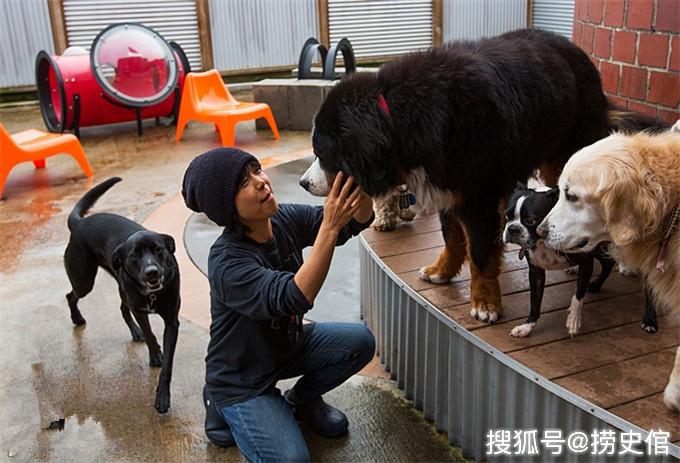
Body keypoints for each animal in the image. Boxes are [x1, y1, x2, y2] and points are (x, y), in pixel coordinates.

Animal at [63, 178, 179, 414]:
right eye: (135, 254)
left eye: (158, 249)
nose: (151, 272)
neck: (153, 295)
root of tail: (79, 223)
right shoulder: (140, 310)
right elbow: (150, 334)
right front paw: (155, 354)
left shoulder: (172, 320)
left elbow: (168, 365)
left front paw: (162, 396)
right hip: (84, 281)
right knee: (71, 295)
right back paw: (77, 318)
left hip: (119, 287)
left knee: (122, 308)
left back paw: (133, 332)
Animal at [302, 28, 660, 322]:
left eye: (323, 152)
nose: (304, 183)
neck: (400, 120)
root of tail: (578, 53)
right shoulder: (448, 189)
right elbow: (452, 238)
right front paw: (441, 272)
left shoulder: (479, 195)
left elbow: (480, 252)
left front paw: (485, 303)